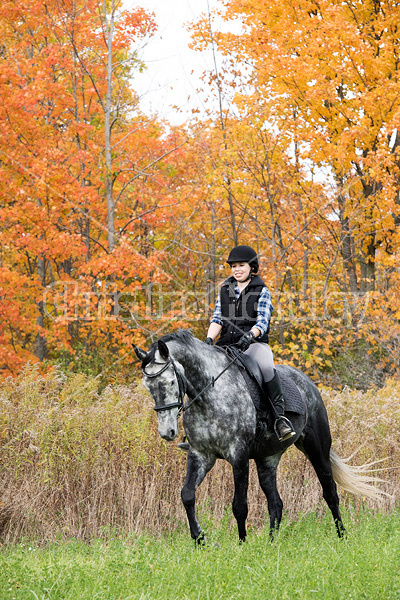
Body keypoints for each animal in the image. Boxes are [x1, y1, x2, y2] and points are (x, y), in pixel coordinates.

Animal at [135, 330, 384, 540]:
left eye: (170, 381)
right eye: (147, 386)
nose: (167, 432)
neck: (210, 394)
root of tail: (307, 382)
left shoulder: (238, 456)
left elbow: (239, 505)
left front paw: (242, 544)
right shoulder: (200, 455)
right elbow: (187, 495)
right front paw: (200, 539)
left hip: (316, 448)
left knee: (330, 492)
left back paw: (342, 537)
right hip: (268, 459)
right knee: (276, 503)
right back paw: (272, 543)